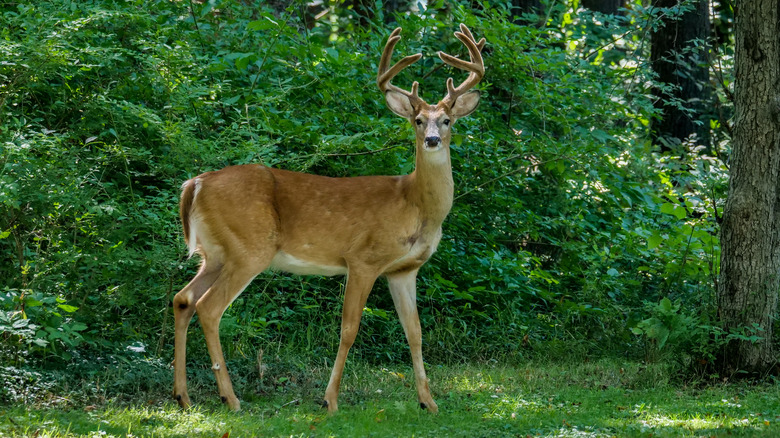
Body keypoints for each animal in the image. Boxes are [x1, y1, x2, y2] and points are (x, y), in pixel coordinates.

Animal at [174, 24, 484, 414]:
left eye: (446, 120)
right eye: (416, 120)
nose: (430, 139)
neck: (414, 204)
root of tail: (194, 183)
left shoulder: (404, 269)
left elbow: (414, 332)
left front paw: (429, 402)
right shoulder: (363, 258)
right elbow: (349, 329)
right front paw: (330, 400)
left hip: (215, 252)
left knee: (183, 299)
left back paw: (183, 395)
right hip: (249, 248)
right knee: (209, 307)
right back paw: (230, 398)